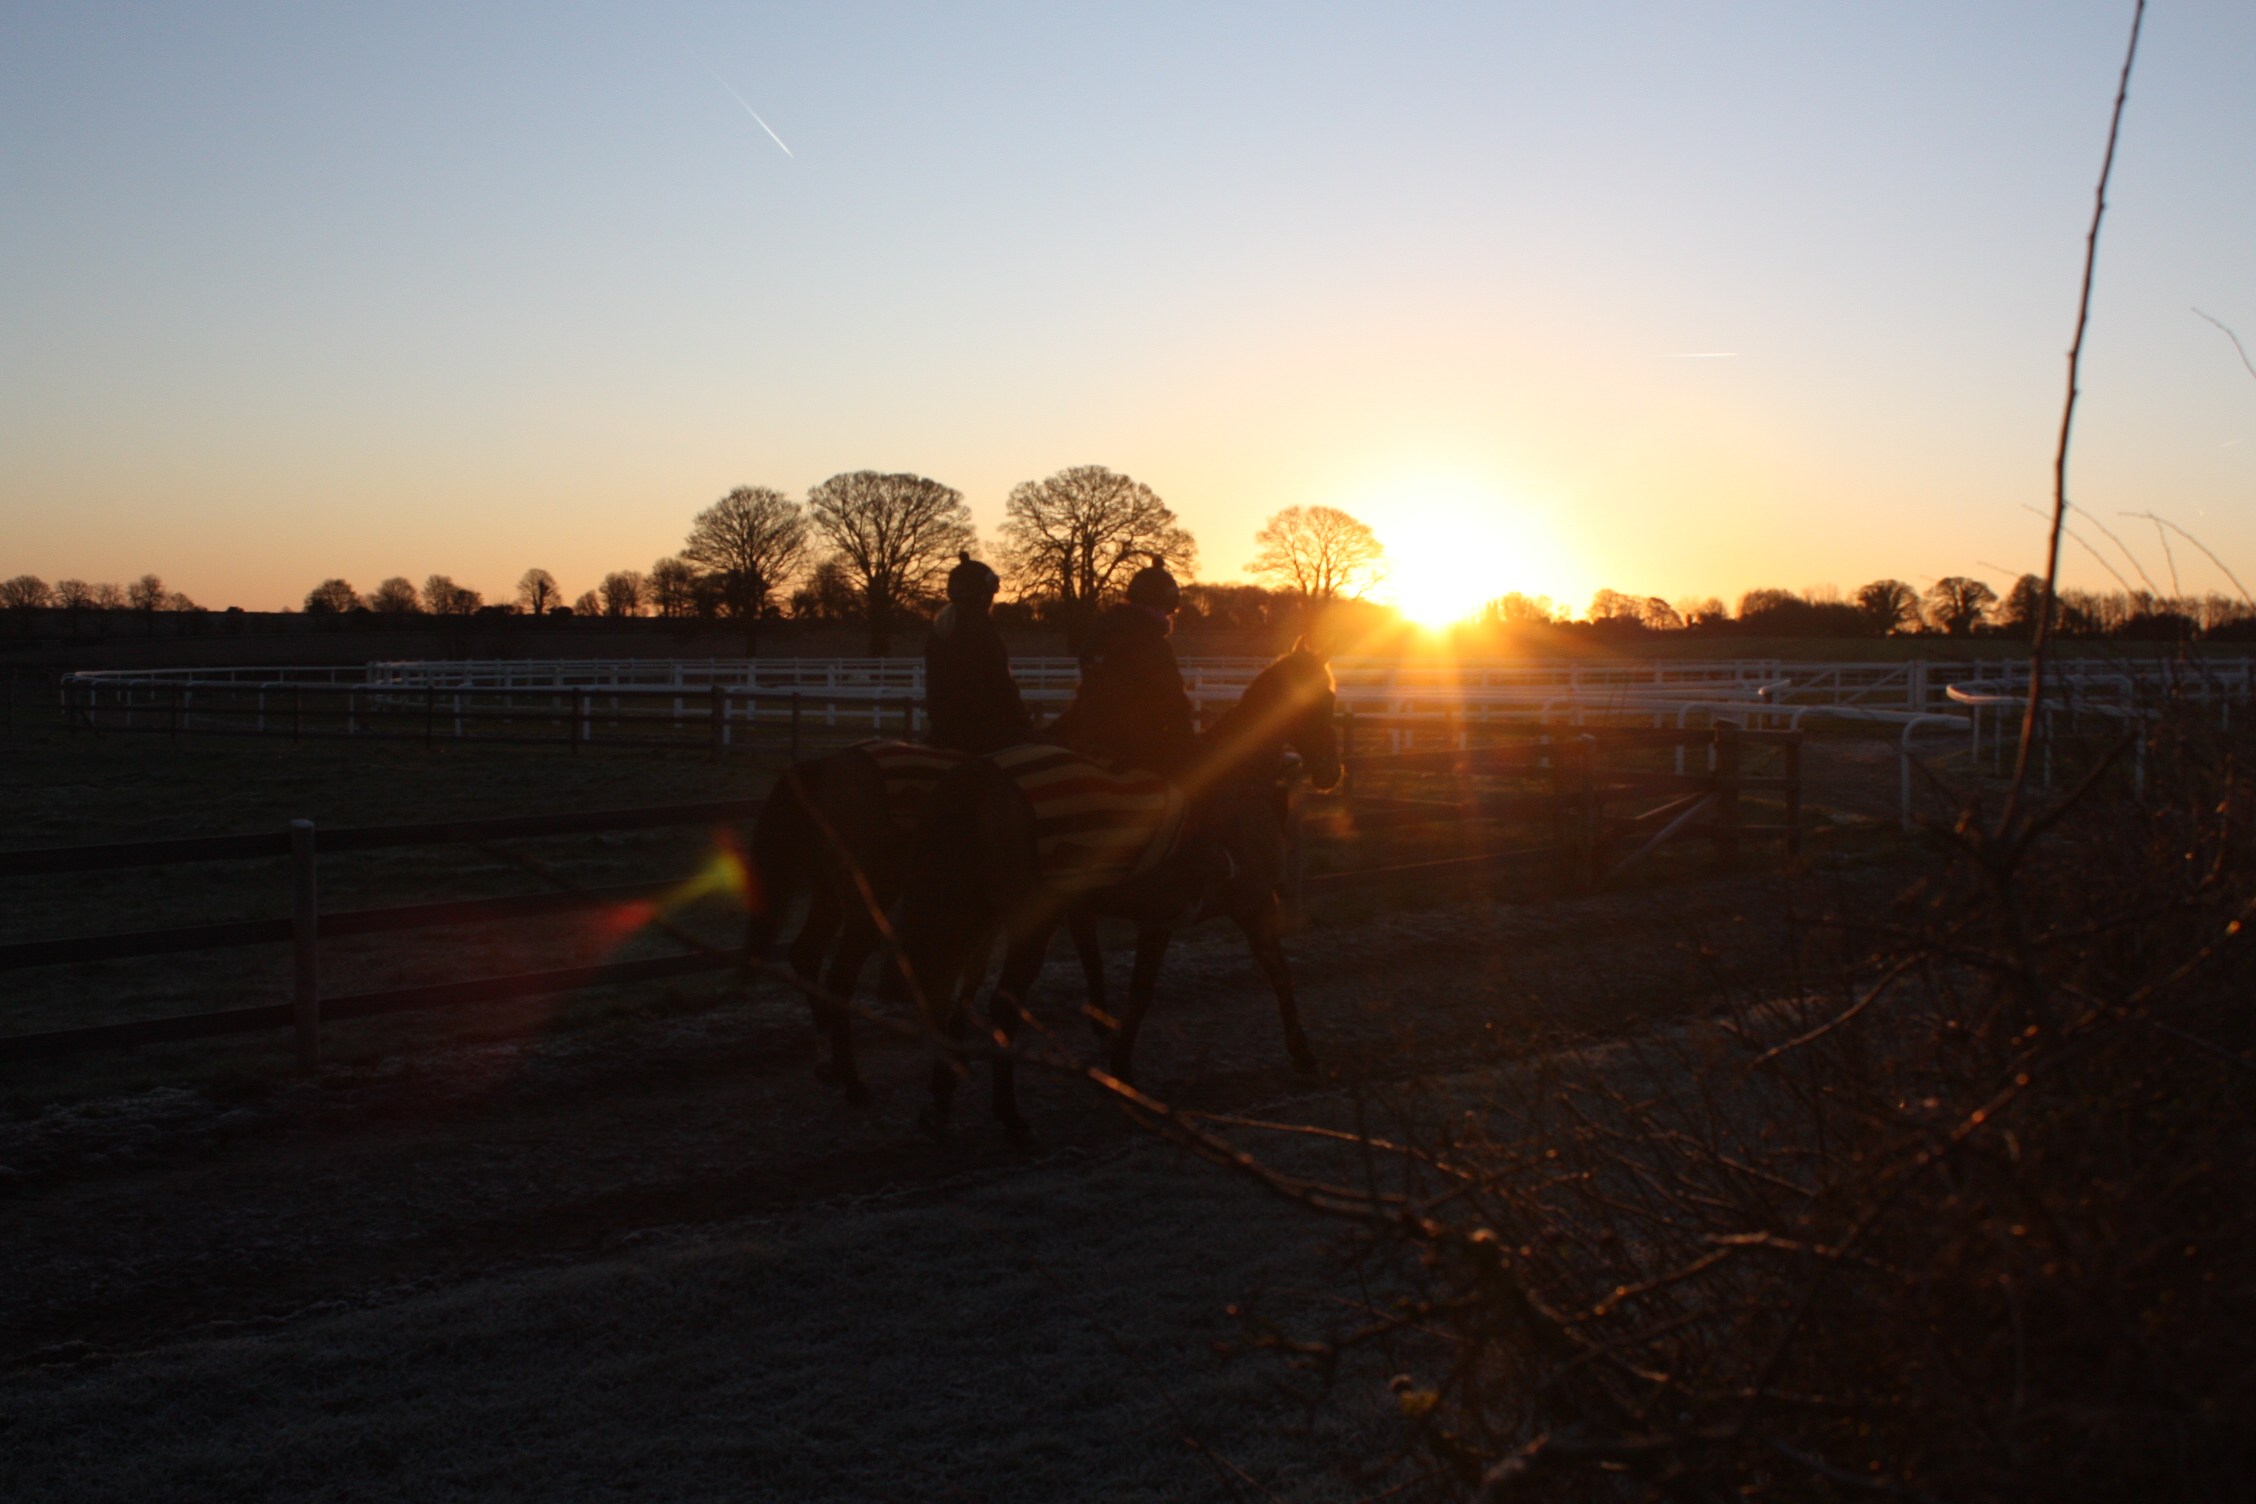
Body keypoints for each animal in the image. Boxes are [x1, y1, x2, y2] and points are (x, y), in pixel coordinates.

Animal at [893, 644, 1335, 1140]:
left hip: (980, 916)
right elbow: (1275, 974)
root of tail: (981, 774)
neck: (1239, 782)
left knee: (960, 999)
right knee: (1002, 1003)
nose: (1331, 770)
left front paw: (1120, 1066)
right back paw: (1009, 1114)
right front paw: (1303, 1053)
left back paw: (941, 1097)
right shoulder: (1247, 907)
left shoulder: (1164, 920)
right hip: (1031, 925)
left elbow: (1140, 991)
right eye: (1325, 700)